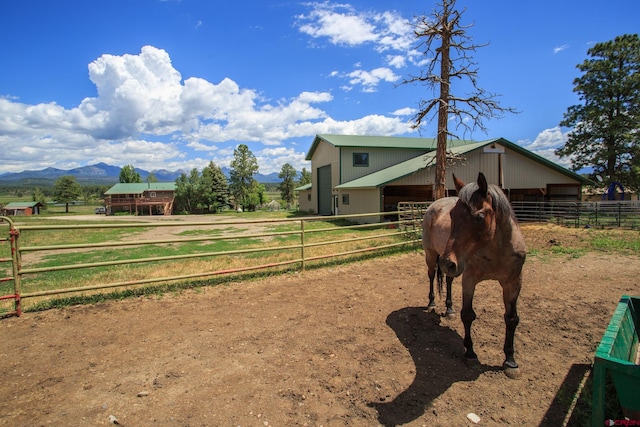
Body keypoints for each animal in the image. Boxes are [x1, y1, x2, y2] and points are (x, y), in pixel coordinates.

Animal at [422, 172, 524, 380]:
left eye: (479, 217)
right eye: (452, 216)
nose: (446, 262)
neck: (496, 251)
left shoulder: (513, 283)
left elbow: (511, 319)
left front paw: (510, 361)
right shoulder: (469, 280)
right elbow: (468, 315)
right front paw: (470, 353)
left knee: (449, 281)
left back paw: (449, 309)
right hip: (432, 256)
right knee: (431, 276)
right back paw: (432, 303)